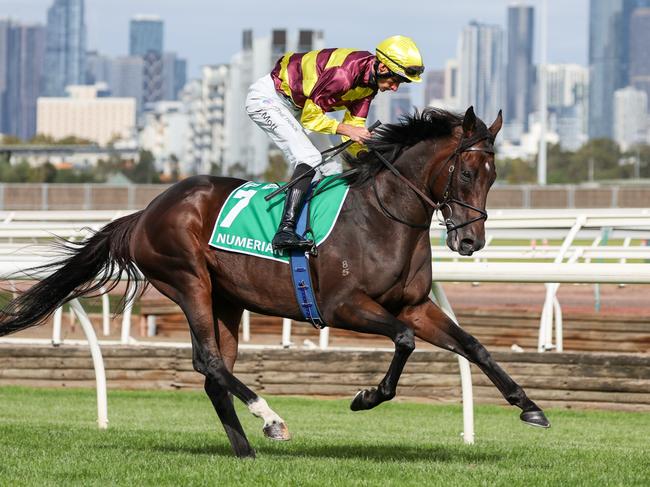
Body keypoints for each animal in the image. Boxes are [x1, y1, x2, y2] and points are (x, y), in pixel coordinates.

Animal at [0, 107, 548, 458]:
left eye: (494, 176)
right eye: (467, 172)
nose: (470, 241)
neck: (384, 217)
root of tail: (145, 212)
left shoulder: (415, 304)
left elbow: (473, 346)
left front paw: (530, 408)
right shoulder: (343, 306)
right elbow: (405, 341)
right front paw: (366, 396)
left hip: (226, 299)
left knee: (215, 370)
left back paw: (245, 449)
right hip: (188, 281)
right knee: (208, 361)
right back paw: (271, 420)